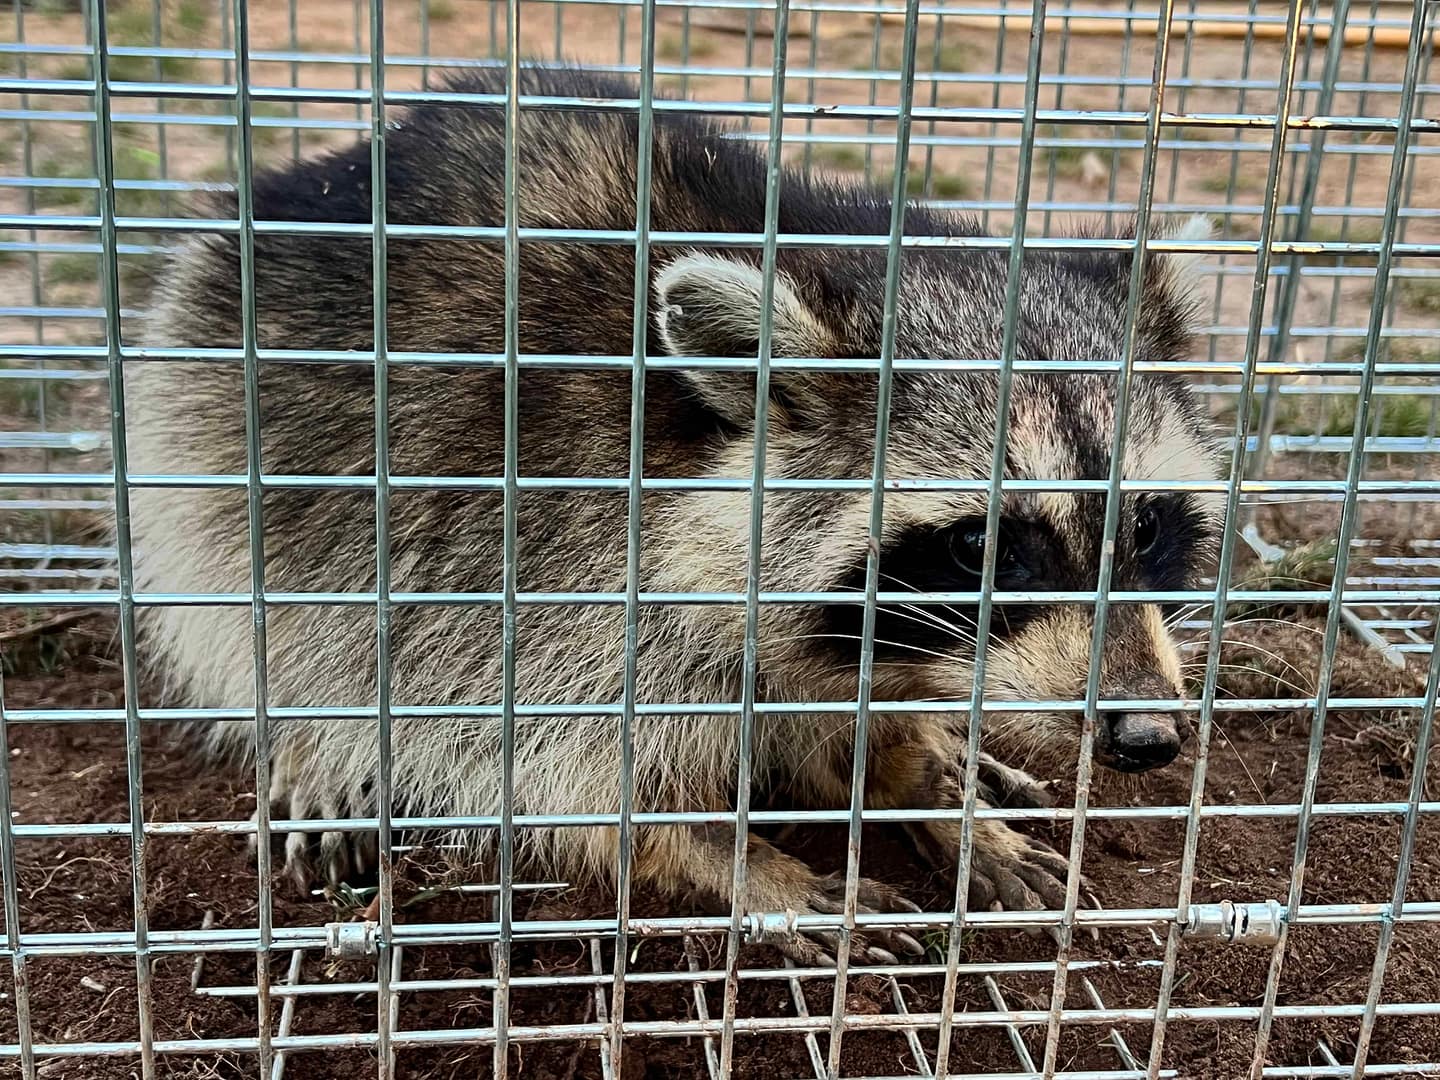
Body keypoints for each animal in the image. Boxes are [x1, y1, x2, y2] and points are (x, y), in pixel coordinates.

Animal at [127, 67, 1222, 964]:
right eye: (980, 545)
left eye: (1147, 529)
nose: (1145, 737)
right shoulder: (541, 571)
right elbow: (565, 779)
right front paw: (738, 862)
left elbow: (864, 728)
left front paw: (927, 782)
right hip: (216, 422)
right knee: (268, 602)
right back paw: (308, 733)